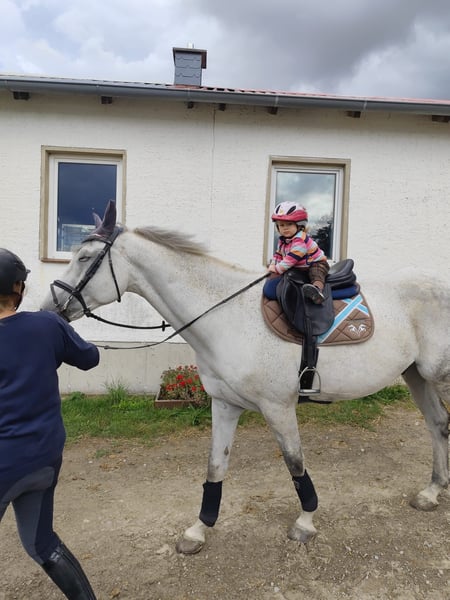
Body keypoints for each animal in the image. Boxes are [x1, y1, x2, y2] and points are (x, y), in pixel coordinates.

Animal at [41, 201, 450, 555]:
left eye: (85, 258)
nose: (50, 308)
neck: (225, 314)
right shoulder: (224, 404)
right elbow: (215, 467)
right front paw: (199, 529)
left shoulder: (278, 407)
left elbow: (295, 464)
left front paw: (305, 522)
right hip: (417, 376)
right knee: (438, 425)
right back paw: (432, 491)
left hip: (435, 375)